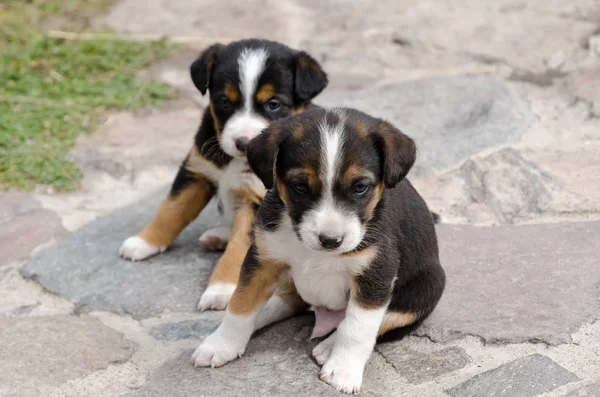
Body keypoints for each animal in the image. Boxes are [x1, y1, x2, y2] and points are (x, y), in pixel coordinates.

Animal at [118, 38, 328, 310]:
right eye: (225, 102)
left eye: (273, 104)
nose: (243, 142)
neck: (234, 161)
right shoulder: (196, 171)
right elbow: (171, 210)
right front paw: (146, 241)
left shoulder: (257, 199)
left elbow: (239, 246)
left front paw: (220, 288)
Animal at [192, 106, 446, 392]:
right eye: (300, 186)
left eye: (360, 187)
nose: (330, 240)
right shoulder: (261, 259)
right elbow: (240, 303)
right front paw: (221, 345)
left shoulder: (377, 273)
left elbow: (358, 328)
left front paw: (344, 370)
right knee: (288, 301)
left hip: (428, 287)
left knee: (381, 319)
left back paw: (327, 346)